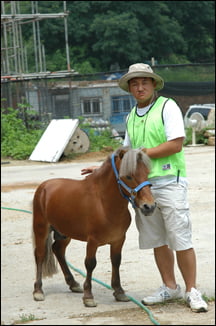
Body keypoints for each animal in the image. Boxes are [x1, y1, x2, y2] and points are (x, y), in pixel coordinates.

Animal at [32, 146, 155, 306]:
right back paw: (38, 290)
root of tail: (44, 187)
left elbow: (116, 261)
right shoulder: (93, 241)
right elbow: (90, 264)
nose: (149, 206)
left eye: (147, 173)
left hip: (65, 233)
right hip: (41, 229)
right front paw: (88, 296)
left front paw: (119, 292)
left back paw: (73, 284)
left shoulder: (118, 239)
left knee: (58, 250)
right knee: (40, 255)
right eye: (128, 176)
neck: (104, 203)